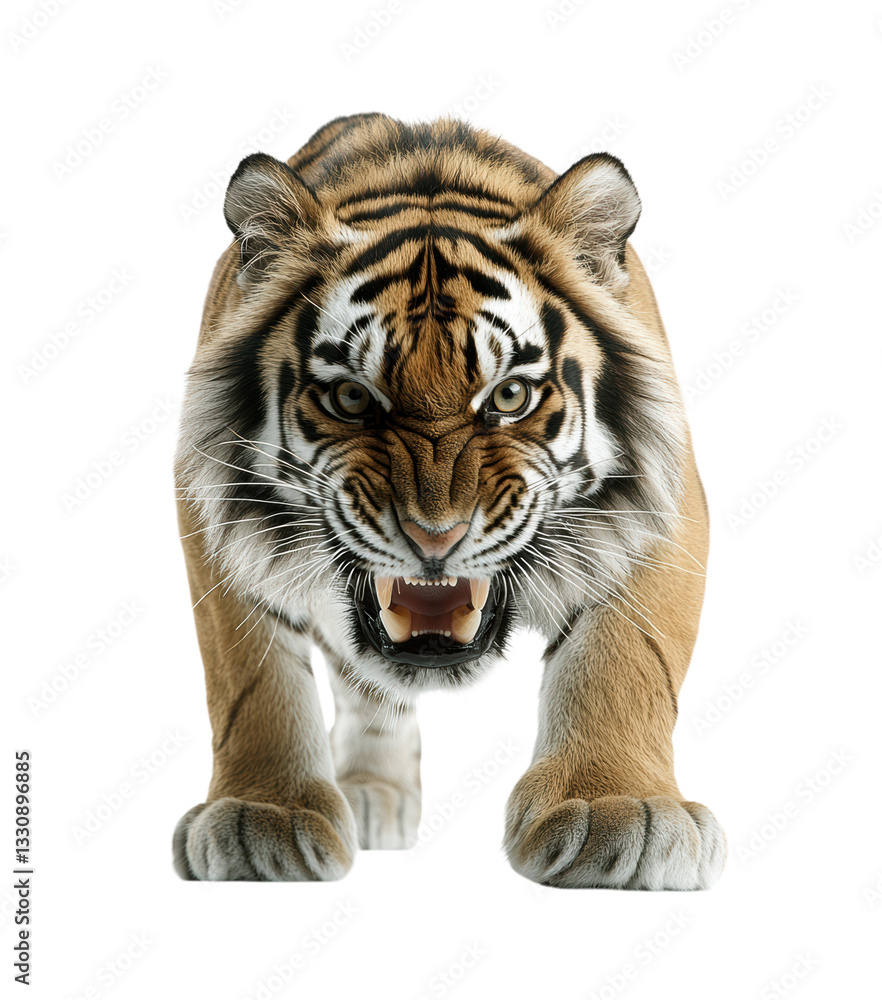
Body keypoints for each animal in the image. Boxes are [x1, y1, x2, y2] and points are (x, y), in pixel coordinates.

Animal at [172, 112, 726, 889]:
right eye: (352, 399)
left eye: (510, 396)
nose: (435, 536)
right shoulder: (209, 505)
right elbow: (251, 681)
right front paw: (260, 818)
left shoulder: (662, 498)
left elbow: (626, 657)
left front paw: (619, 809)